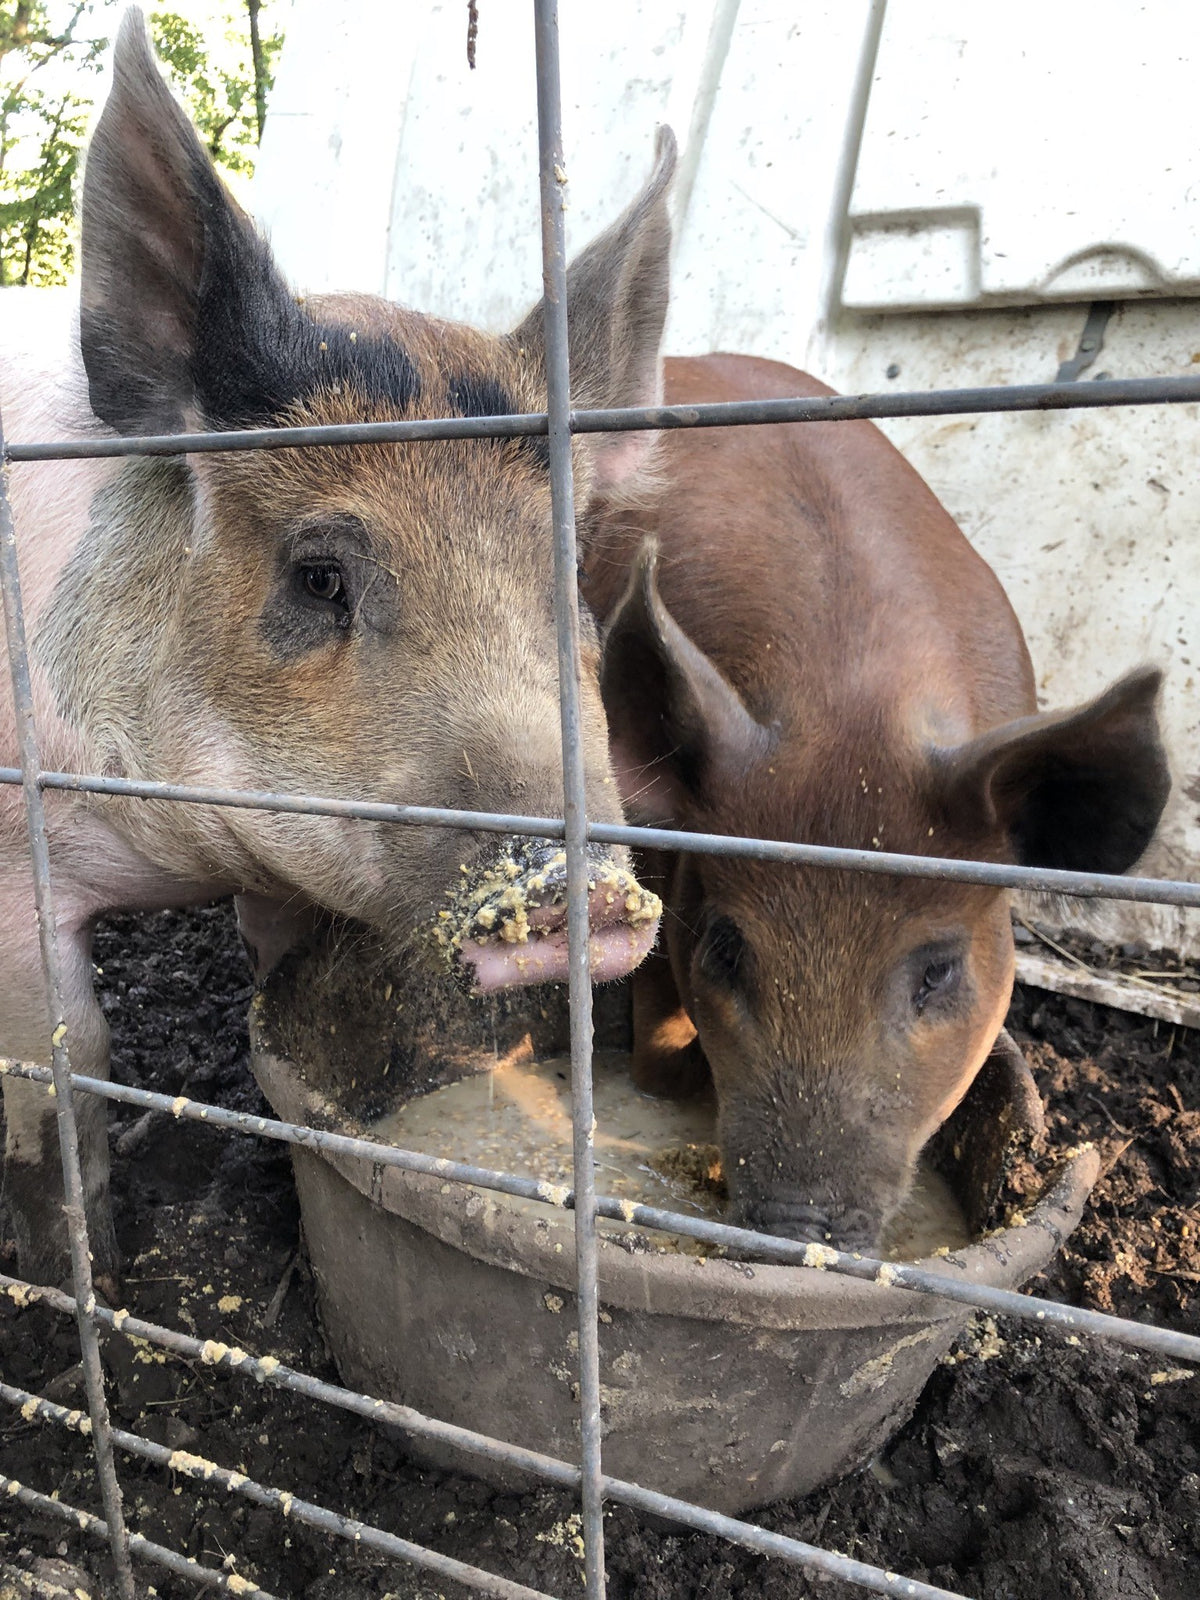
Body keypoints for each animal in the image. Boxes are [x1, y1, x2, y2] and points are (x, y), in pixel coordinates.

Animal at [0, 11, 668, 1288]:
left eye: (566, 583)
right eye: (319, 575)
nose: (585, 899)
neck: (175, 849)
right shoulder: (14, 862)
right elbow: (62, 1075)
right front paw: (79, 1287)